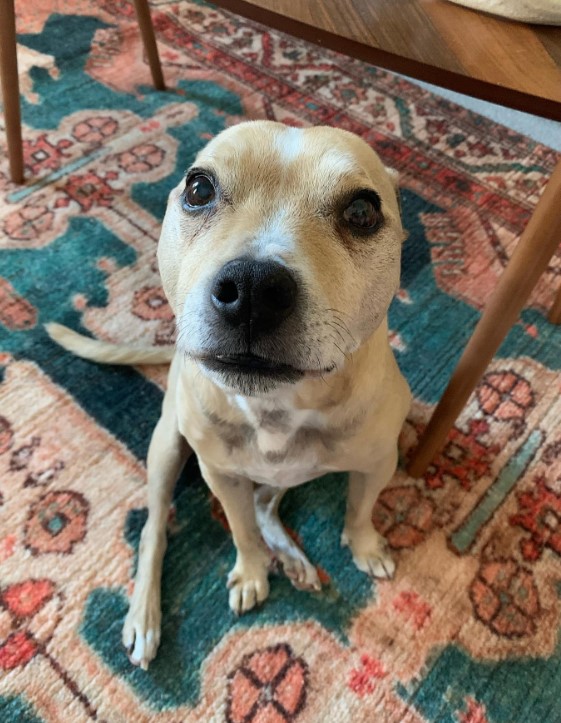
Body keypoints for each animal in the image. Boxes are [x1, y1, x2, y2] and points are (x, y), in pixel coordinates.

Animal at [46, 121, 410, 672]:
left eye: (362, 212)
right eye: (199, 189)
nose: (254, 288)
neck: (276, 406)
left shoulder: (377, 463)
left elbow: (360, 510)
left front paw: (365, 548)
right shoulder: (220, 474)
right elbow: (240, 530)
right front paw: (254, 572)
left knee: (266, 503)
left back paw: (294, 558)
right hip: (166, 448)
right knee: (157, 529)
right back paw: (145, 616)